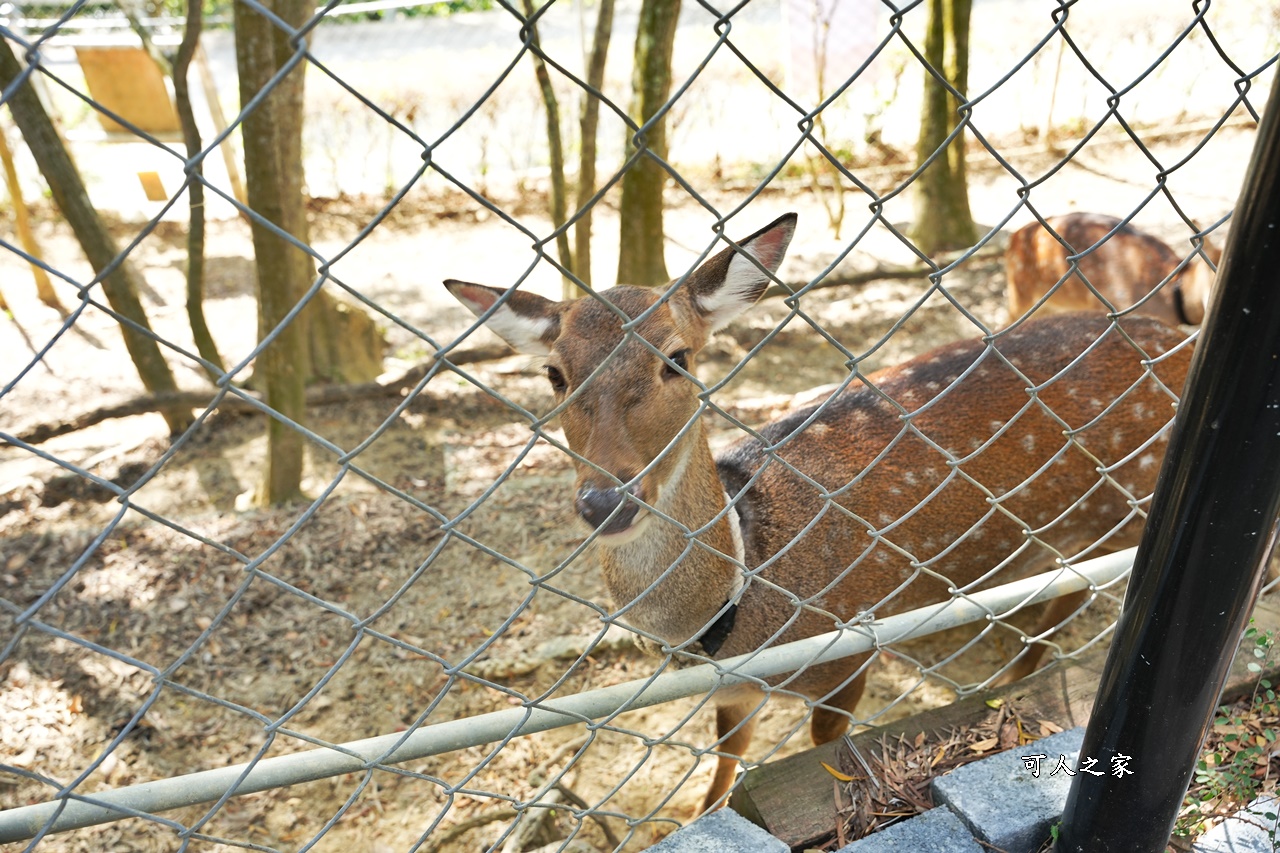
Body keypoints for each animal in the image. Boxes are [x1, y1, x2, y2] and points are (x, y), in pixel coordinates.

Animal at [445, 212, 1192, 809]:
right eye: (555, 374)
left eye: (676, 358)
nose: (605, 498)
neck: (738, 614)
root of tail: (1180, 344)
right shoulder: (731, 694)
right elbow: (723, 768)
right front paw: (695, 815)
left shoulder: (845, 656)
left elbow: (821, 744)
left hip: (1125, 508)